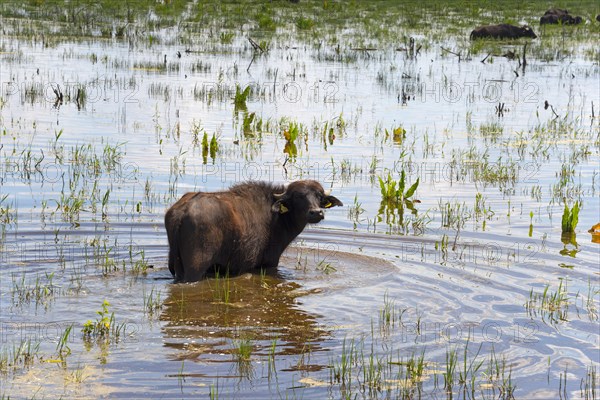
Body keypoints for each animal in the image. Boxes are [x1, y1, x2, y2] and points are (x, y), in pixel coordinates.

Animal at [164, 180, 342, 282]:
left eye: (319, 196)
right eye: (298, 197)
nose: (316, 212)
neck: (278, 217)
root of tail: (182, 211)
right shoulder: (270, 262)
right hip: (195, 268)